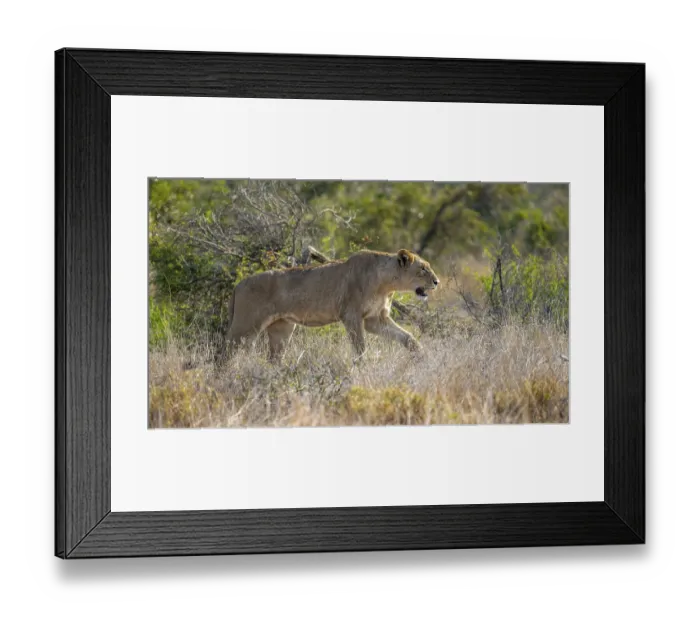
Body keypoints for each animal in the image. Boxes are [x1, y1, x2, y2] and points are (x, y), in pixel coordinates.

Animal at [220, 249, 440, 360]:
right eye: (423, 268)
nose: (437, 281)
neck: (386, 285)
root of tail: (238, 284)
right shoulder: (351, 315)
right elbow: (360, 347)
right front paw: (362, 367)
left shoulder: (375, 319)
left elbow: (407, 336)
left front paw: (422, 355)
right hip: (245, 327)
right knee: (225, 354)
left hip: (281, 329)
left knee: (273, 359)